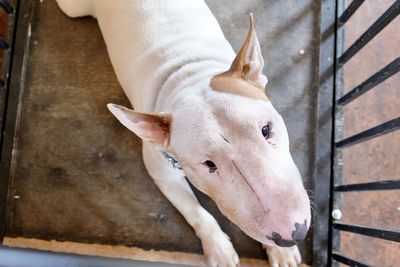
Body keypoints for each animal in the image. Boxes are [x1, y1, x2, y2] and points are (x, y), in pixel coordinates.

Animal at [57, 0, 312, 267]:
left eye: (266, 129)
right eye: (209, 164)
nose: (293, 233)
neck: (188, 78)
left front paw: (281, 252)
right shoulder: (162, 174)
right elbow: (195, 212)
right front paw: (219, 248)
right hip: (73, 9)